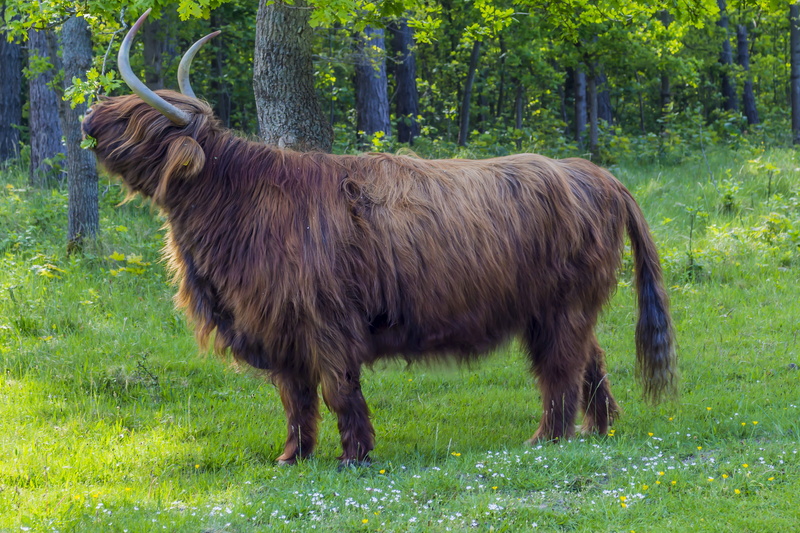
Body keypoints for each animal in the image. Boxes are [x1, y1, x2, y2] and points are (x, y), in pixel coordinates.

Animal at [81, 10, 676, 465]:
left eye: (140, 118)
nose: (87, 119)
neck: (238, 201)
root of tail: (596, 174)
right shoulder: (279, 326)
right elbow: (295, 399)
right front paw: (292, 457)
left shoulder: (324, 319)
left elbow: (338, 389)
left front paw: (354, 456)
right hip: (560, 308)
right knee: (589, 359)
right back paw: (597, 429)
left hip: (561, 305)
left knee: (560, 368)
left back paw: (547, 438)